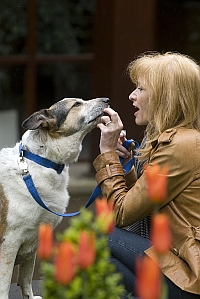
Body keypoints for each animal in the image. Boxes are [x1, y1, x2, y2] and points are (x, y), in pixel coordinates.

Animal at [0, 97, 109, 298]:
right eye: (76, 104)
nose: (106, 100)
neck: (41, 162)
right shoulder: (9, 241)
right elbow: (4, 284)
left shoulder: (34, 237)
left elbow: (26, 276)